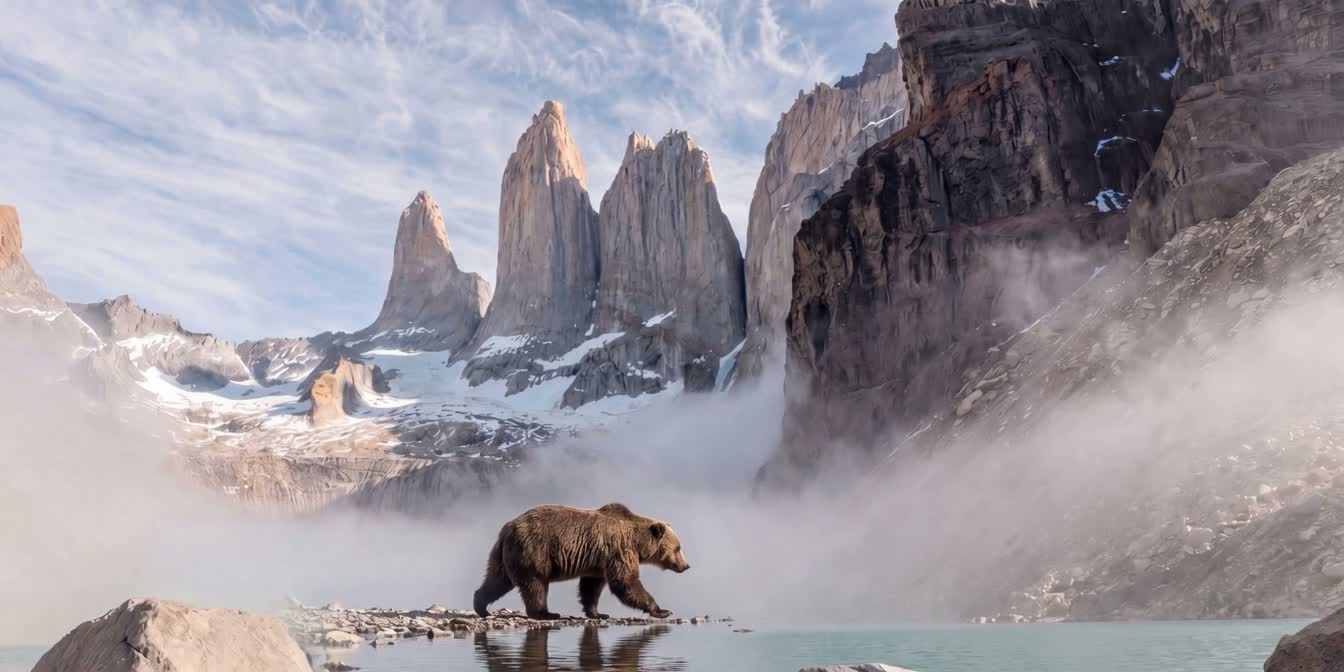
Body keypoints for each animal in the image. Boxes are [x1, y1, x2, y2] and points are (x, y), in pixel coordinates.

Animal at [472, 502, 691, 620]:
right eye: (678, 548)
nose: (686, 565)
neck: (638, 543)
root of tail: (507, 528)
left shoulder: (598, 561)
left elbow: (591, 587)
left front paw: (597, 613)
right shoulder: (619, 550)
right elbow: (626, 582)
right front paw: (662, 610)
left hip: (504, 554)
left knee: (497, 580)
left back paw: (481, 607)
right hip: (535, 550)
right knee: (535, 583)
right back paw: (546, 613)